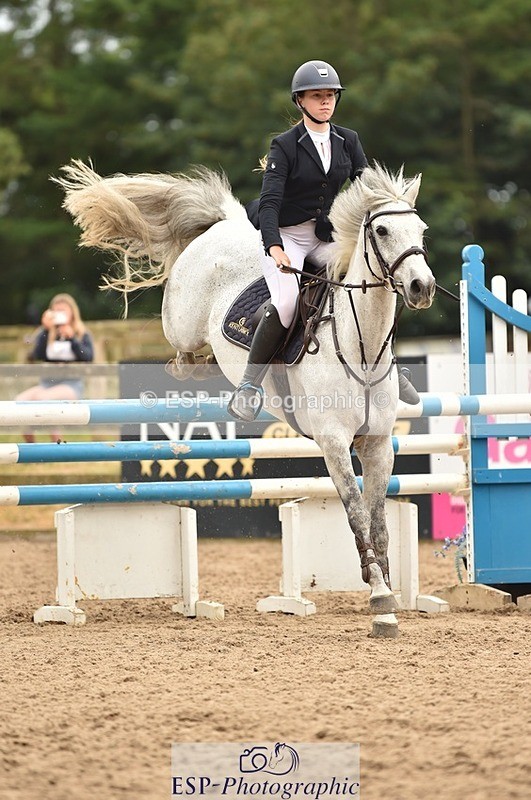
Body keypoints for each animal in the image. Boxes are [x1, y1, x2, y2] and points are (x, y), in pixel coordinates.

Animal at [55, 160, 435, 637]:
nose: (423, 287)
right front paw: (380, 594)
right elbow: (356, 513)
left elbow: (380, 521)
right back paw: (203, 370)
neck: (359, 345)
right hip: (182, 322)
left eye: (421, 229)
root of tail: (227, 222)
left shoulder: (378, 443)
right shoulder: (333, 442)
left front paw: (383, 586)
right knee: (182, 352)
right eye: (382, 230)